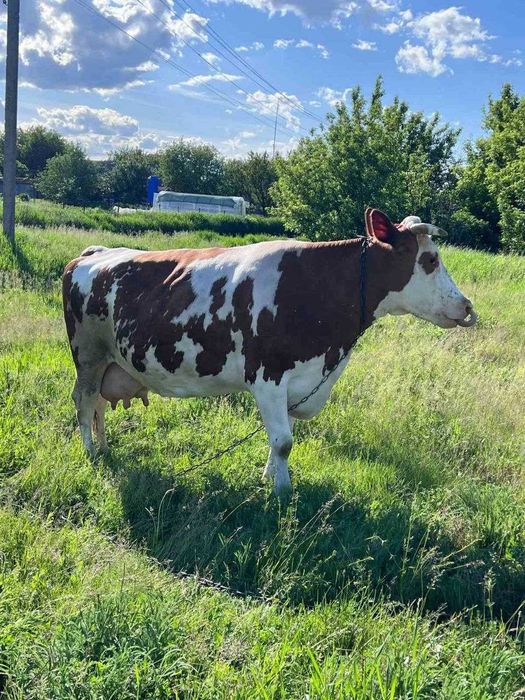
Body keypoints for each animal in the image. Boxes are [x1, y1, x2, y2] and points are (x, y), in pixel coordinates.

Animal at [62, 208, 477, 495]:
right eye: (430, 260)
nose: (467, 307)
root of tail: (92, 253)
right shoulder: (267, 376)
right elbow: (284, 441)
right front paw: (281, 493)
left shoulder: (299, 381)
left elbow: (282, 438)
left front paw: (268, 477)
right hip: (88, 355)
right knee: (83, 400)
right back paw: (90, 453)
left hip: (111, 361)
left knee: (99, 404)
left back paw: (104, 448)